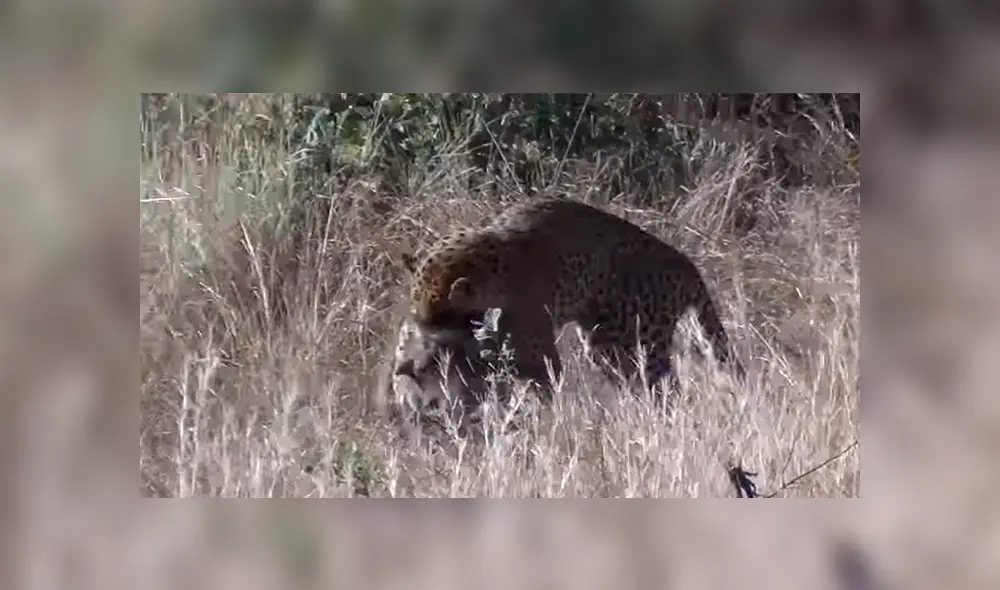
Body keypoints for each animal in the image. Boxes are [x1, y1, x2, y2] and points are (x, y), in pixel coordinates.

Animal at [393, 197, 746, 411]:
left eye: (441, 321)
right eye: (418, 320)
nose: (427, 348)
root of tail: (688, 265)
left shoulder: (537, 356)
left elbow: (537, 386)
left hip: (636, 344)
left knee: (666, 389)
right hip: (607, 347)